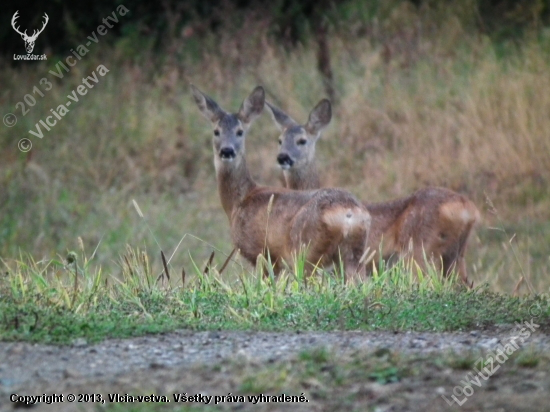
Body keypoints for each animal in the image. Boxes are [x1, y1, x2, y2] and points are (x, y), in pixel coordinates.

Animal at [192, 85, 374, 282]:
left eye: (240, 132)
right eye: (216, 131)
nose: (227, 150)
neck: (239, 201)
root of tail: (348, 213)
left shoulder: (261, 251)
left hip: (305, 251)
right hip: (354, 253)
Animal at [268, 99, 484, 286]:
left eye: (302, 140)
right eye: (279, 140)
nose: (283, 157)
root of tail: (466, 208)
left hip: (419, 252)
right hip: (456, 255)